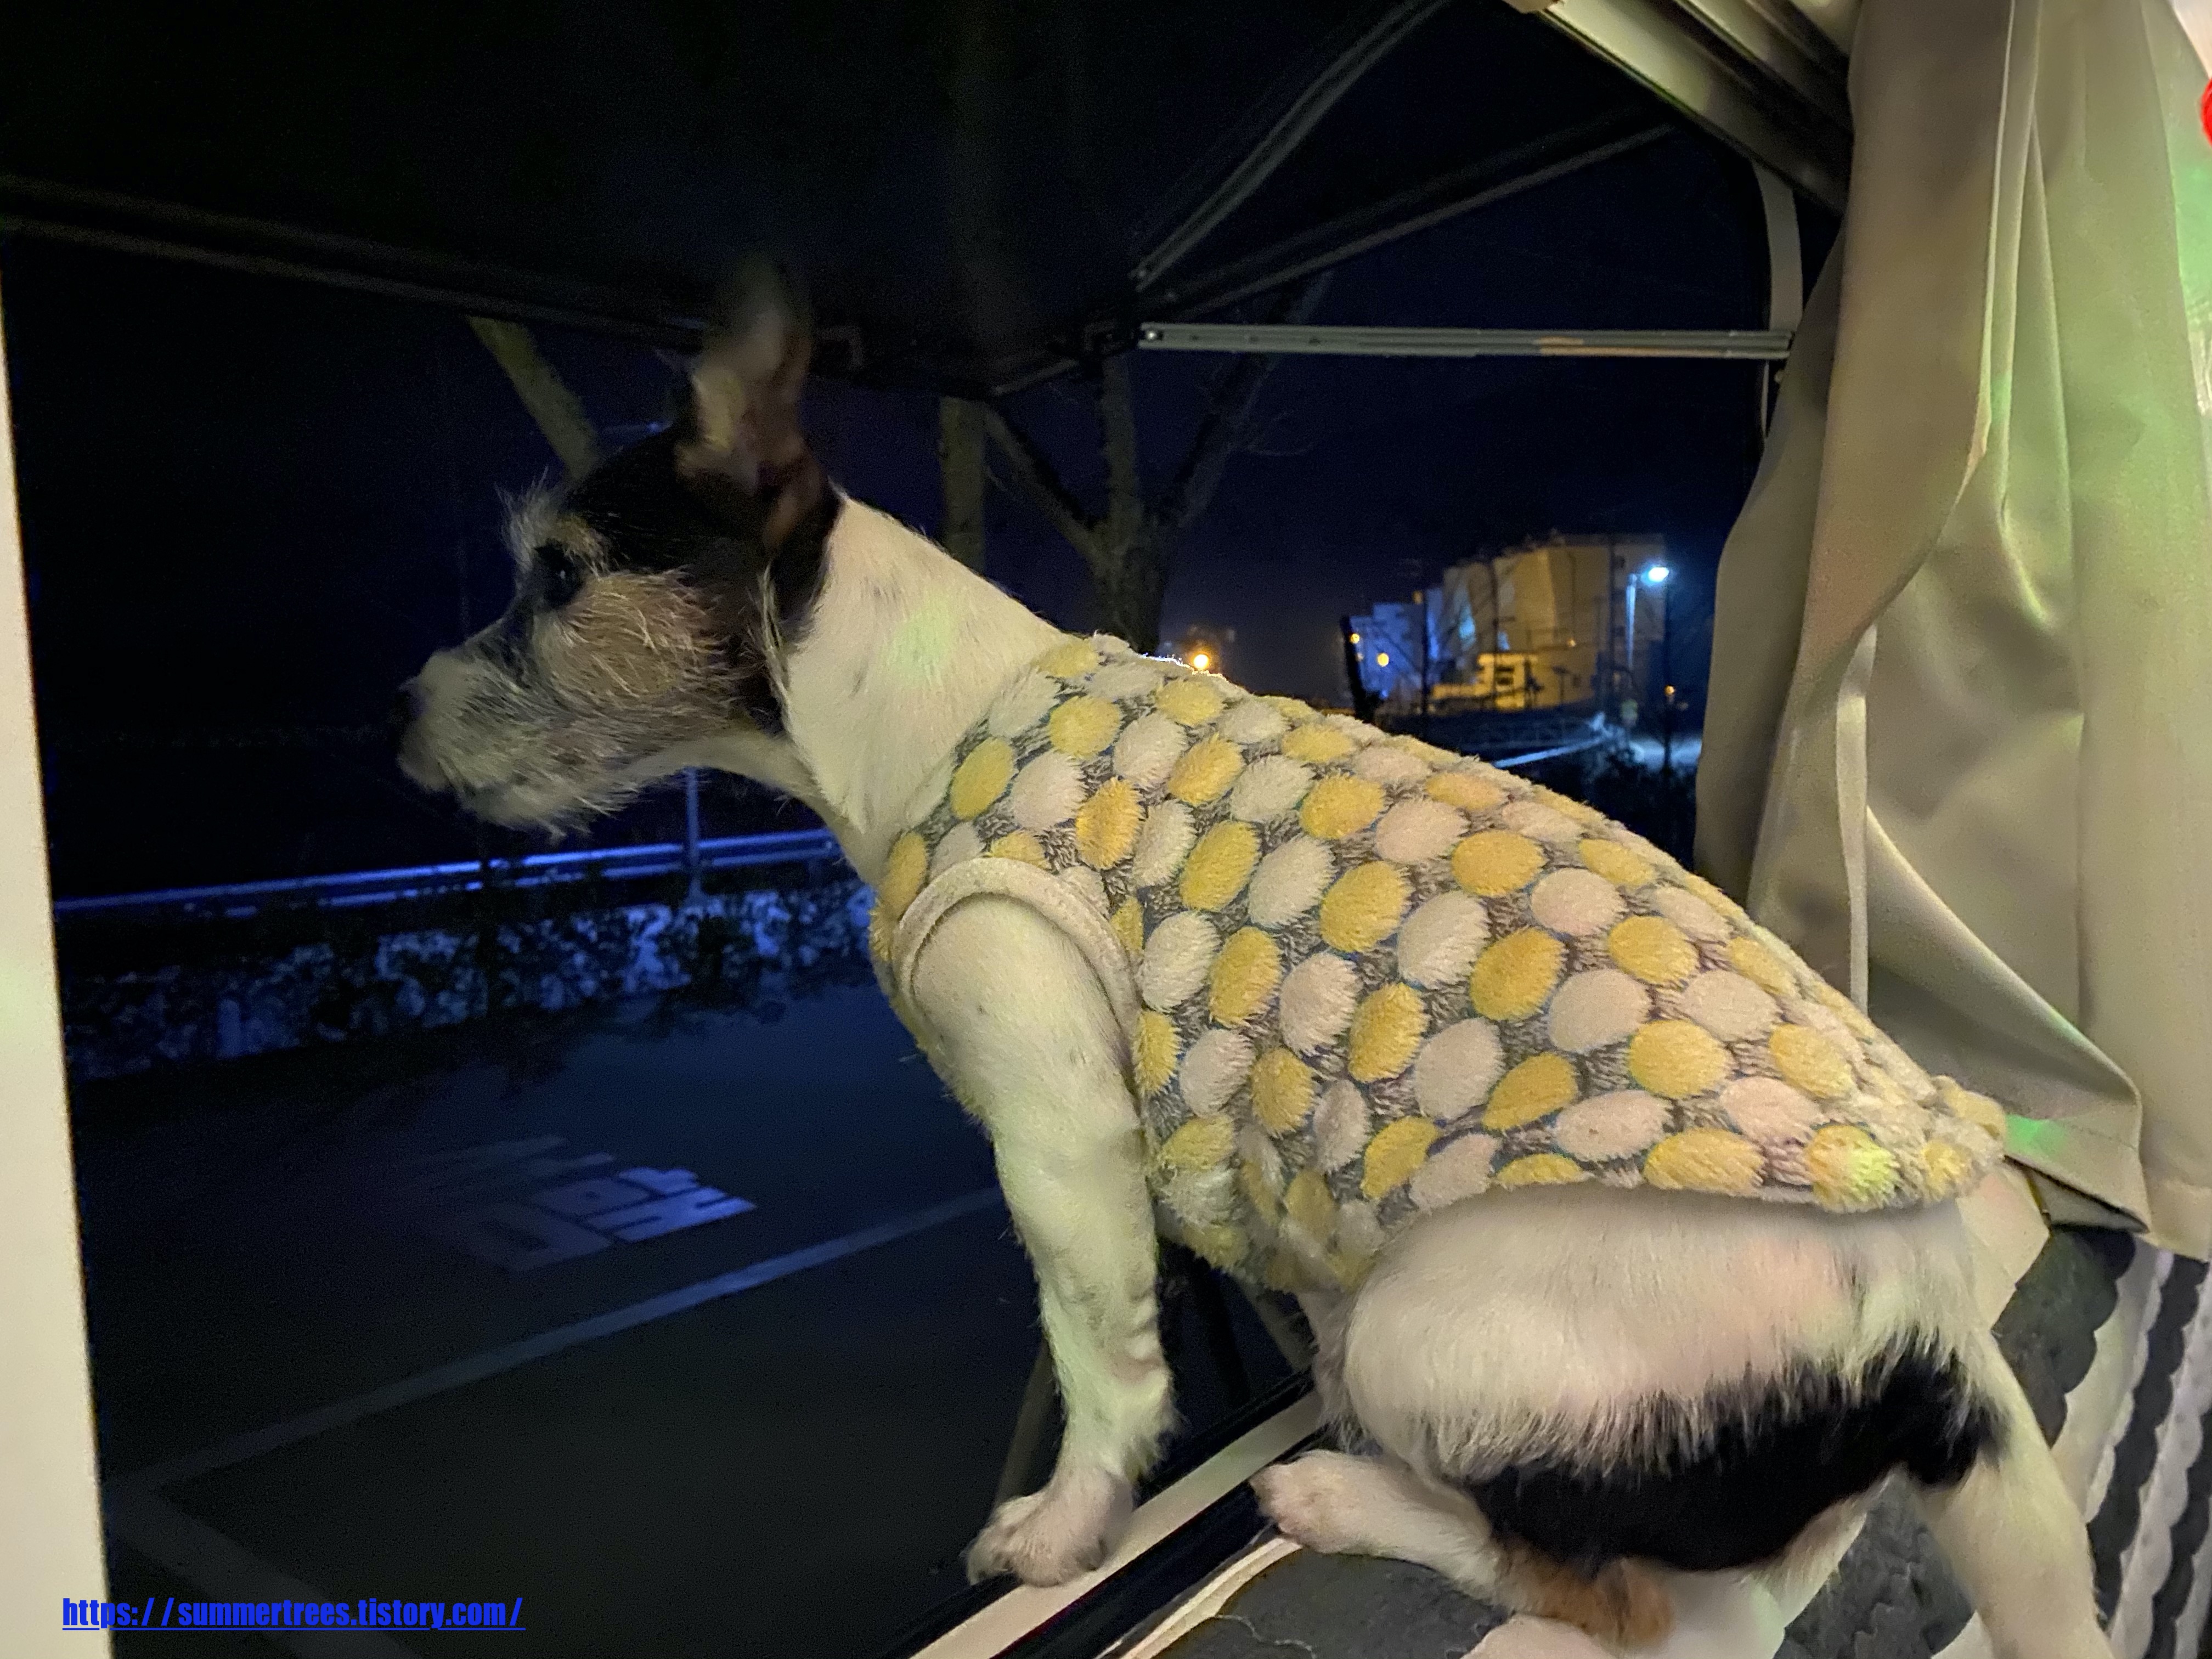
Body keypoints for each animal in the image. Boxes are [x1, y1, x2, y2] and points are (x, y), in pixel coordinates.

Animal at [396, 273, 2112, 1658]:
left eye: (558, 577)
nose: (400, 727)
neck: (920, 713)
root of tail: (1926, 1347)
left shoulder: (1059, 1131)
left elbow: (1102, 1357)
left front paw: (1062, 1530)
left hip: (1432, 1323)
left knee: (1607, 1598)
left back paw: (1347, 1501)